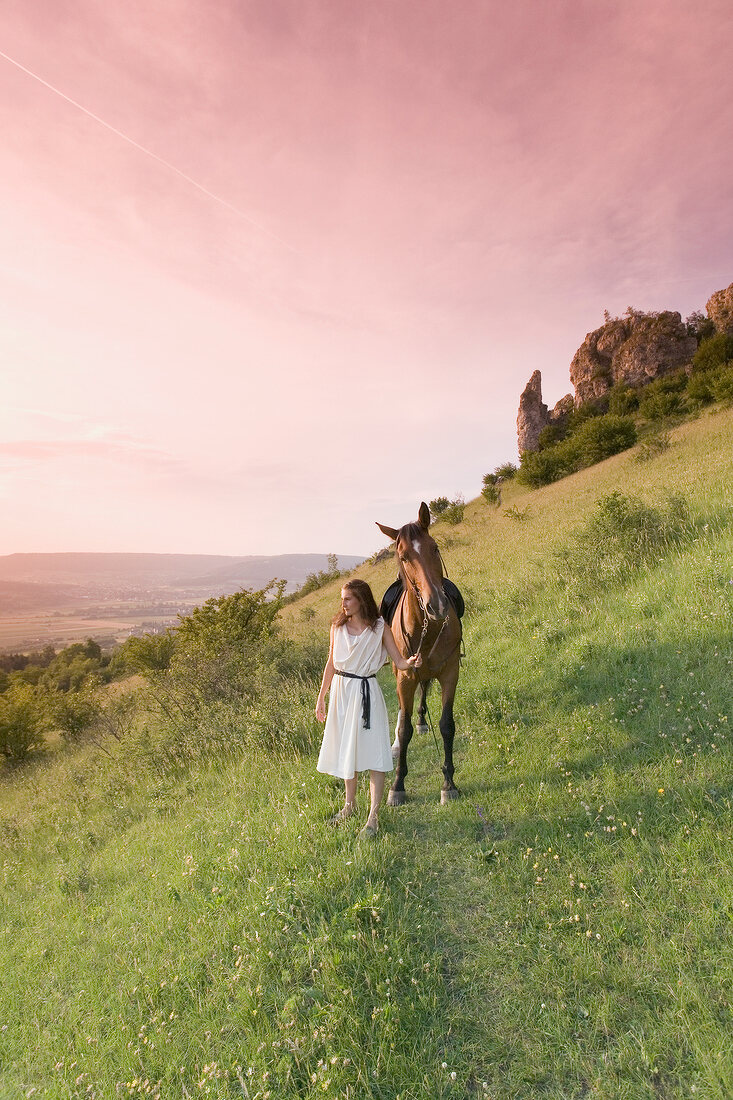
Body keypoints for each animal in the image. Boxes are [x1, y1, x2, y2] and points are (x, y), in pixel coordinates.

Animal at [378, 503, 460, 805]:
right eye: (403, 556)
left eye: (434, 548)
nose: (437, 604)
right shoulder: (405, 677)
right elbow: (404, 729)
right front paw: (397, 785)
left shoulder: (450, 671)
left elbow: (447, 725)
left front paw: (448, 783)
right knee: (404, 713)